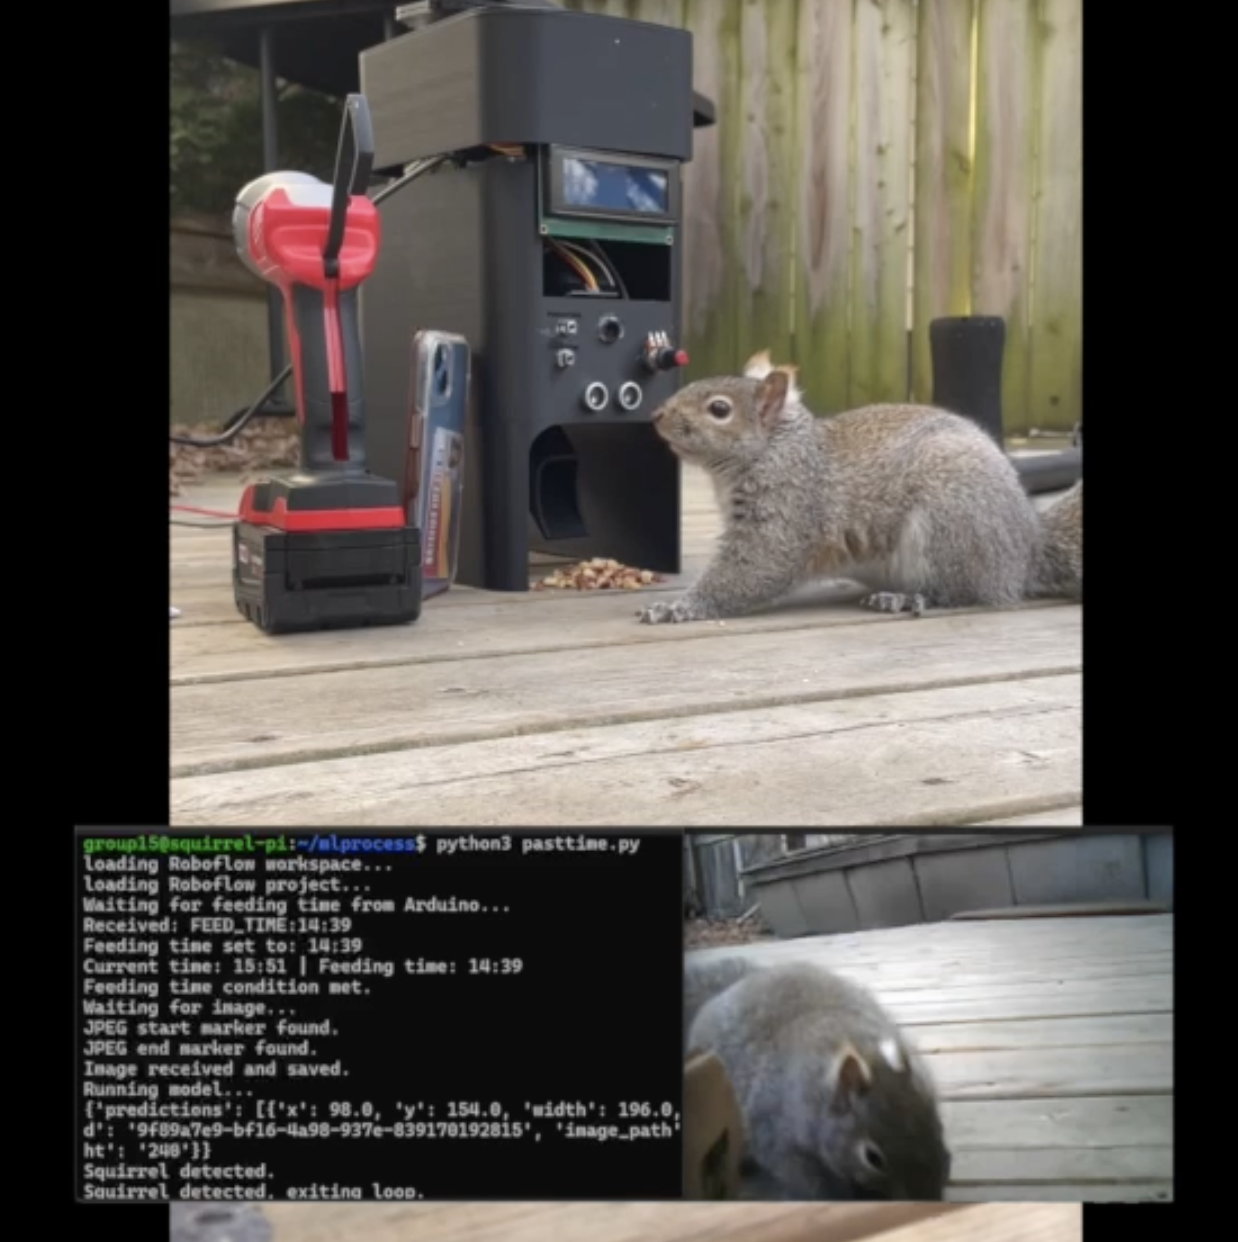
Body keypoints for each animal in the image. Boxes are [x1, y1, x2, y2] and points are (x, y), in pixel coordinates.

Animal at [638, 350, 1082, 625]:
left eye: (719, 409)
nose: (656, 415)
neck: (776, 448)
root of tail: (1027, 548)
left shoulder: (789, 503)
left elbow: (757, 566)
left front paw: (677, 607)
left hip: (951, 524)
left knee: (964, 590)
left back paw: (907, 598)